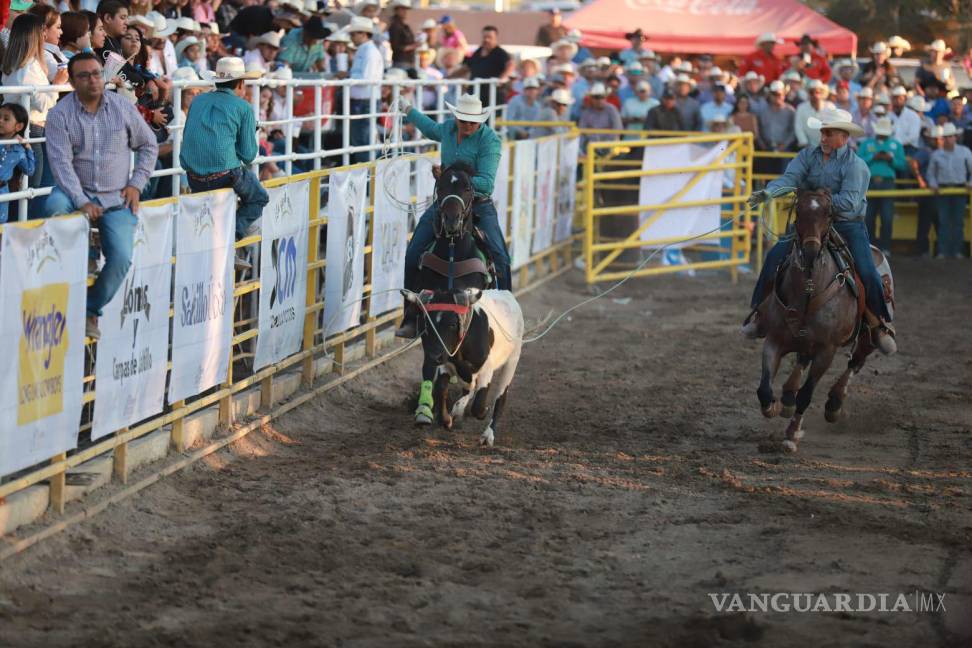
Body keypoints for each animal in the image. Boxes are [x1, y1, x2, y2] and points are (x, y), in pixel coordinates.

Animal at [756, 187, 876, 450]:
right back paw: (787, 396)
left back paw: (834, 403)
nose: (811, 252)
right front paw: (774, 406)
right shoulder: (774, 341)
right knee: (802, 359)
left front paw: (792, 434)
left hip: (868, 337)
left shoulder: (826, 351)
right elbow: (764, 389)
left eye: (828, 213)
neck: (808, 289)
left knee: (855, 363)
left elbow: (806, 394)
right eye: (798, 211)